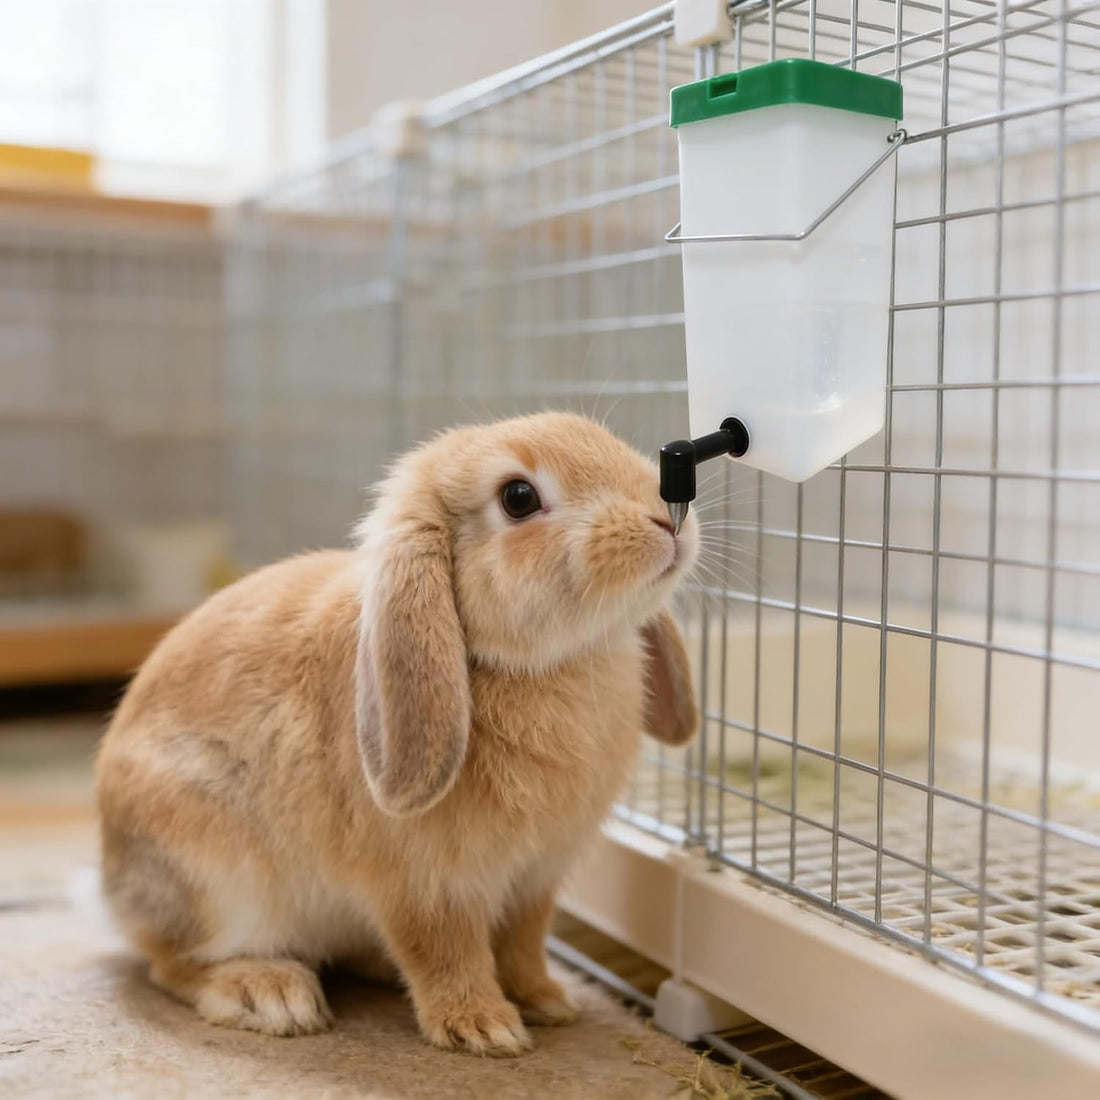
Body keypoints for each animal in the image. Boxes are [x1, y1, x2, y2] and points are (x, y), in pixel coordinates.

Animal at [95, 410, 700, 1056]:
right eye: (518, 497)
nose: (665, 516)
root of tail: (111, 885)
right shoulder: (426, 884)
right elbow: (442, 949)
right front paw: (483, 1027)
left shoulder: (534, 879)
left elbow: (523, 942)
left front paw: (546, 1000)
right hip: (217, 881)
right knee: (173, 962)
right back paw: (268, 992)